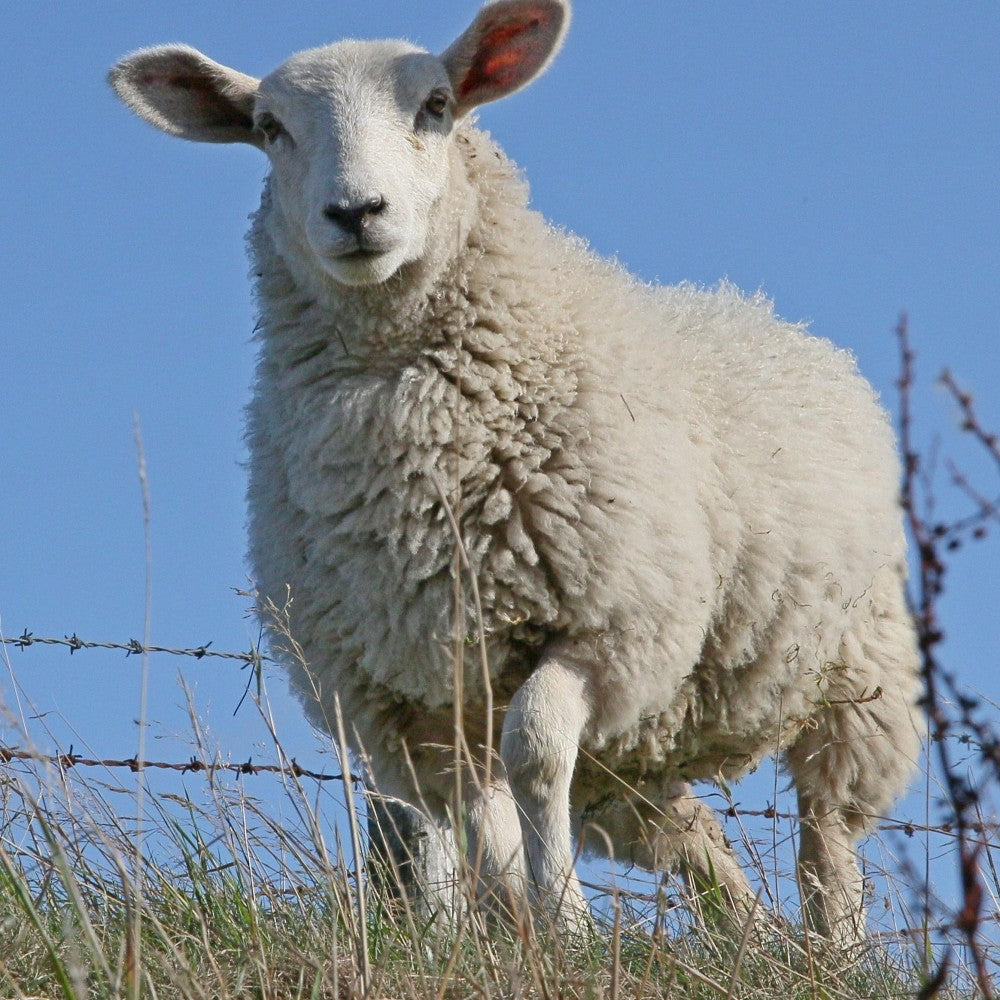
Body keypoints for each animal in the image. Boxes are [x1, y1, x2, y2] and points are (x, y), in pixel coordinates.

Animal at [109, 0, 923, 943]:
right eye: (269, 128)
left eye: (435, 105)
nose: (355, 212)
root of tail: (753, 308)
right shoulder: (412, 702)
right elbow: (478, 812)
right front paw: (521, 930)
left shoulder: (610, 630)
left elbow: (533, 752)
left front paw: (563, 921)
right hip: (636, 757)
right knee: (695, 840)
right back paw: (756, 942)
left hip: (854, 675)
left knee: (829, 834)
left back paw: (833, 949)